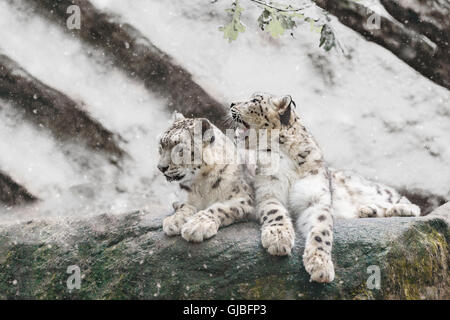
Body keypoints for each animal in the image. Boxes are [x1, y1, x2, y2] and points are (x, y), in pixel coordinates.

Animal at [157, 112, 253, 242]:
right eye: (161, 146)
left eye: (180, 149)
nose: (160, 167)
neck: (200, 184)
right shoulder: (181, 199)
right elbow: (184, 206)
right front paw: (174, 220)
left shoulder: (244, 199)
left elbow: (219, 208)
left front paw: (196, 226)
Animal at [230, 92, 420, 282]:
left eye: (254, 100)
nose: (231, 103)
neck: (285, 154)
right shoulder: (268, 191)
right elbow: (274, 211)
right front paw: (278, 238)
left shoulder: (316, 198)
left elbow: (322, 229)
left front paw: (320, 265)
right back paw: (367, 210)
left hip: (375, 190)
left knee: (408, 202)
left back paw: (400, 209)